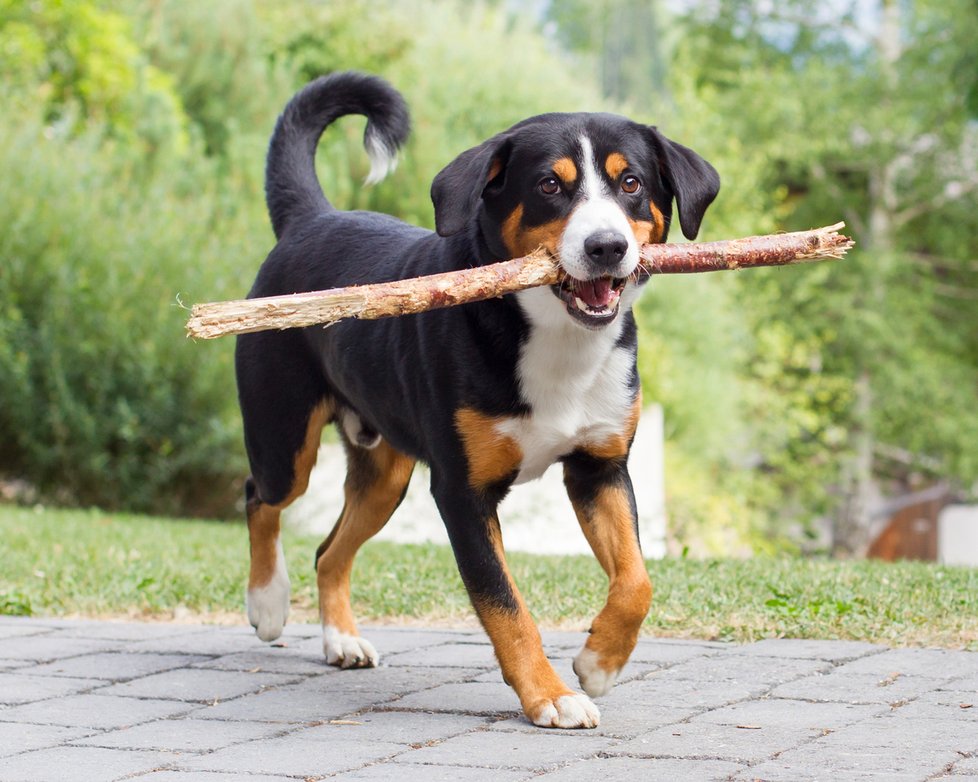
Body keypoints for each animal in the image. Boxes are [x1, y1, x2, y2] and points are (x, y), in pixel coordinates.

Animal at [235, 72, 716, 728]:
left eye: (632, 183)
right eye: (549, 185)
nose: (606, 246)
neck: (556, 341)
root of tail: (313, 220)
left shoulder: (601, 468)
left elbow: (636, 580)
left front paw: (600, 662)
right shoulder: (463, 492)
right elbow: (505, 604)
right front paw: (551, 696)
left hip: (385, 474)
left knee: (330, 552)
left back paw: (342, 640)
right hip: (285, 439)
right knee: (260, 498)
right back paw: (268, 603)